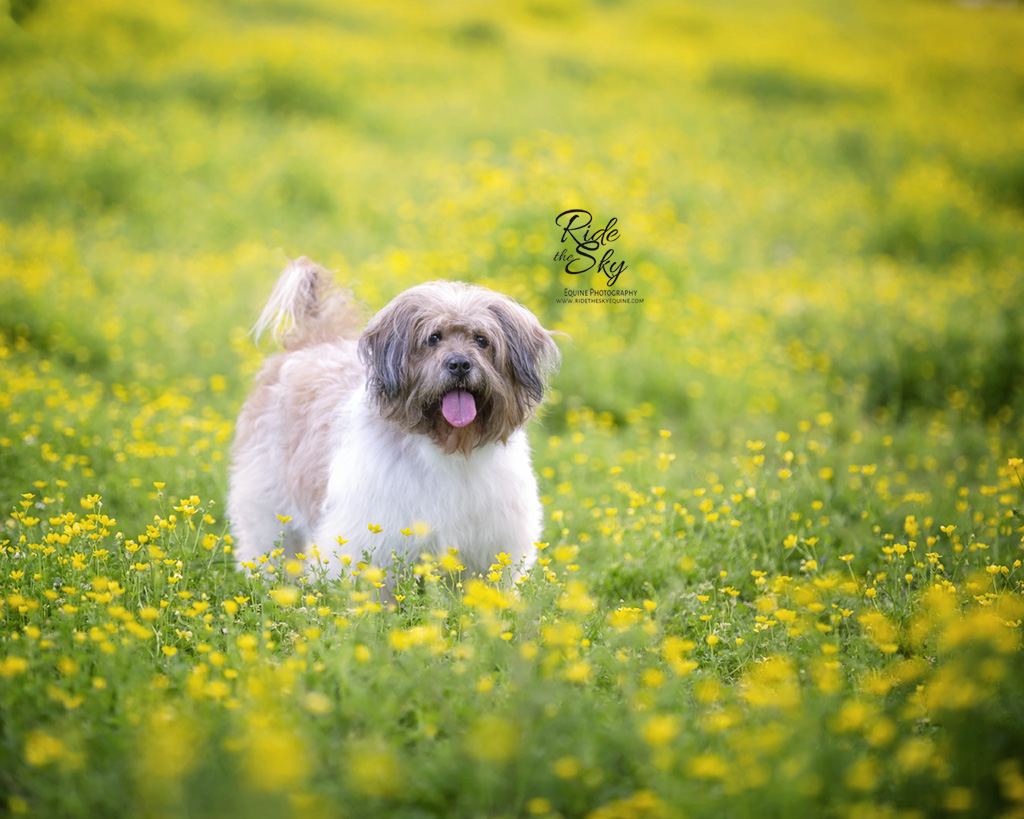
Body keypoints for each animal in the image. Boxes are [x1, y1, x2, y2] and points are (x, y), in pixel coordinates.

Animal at [227, 259, 561, 585]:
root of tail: (312, 341)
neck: (446, 445)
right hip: (265, 500)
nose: (459, 364)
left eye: (482, 340)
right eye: (433, 338)